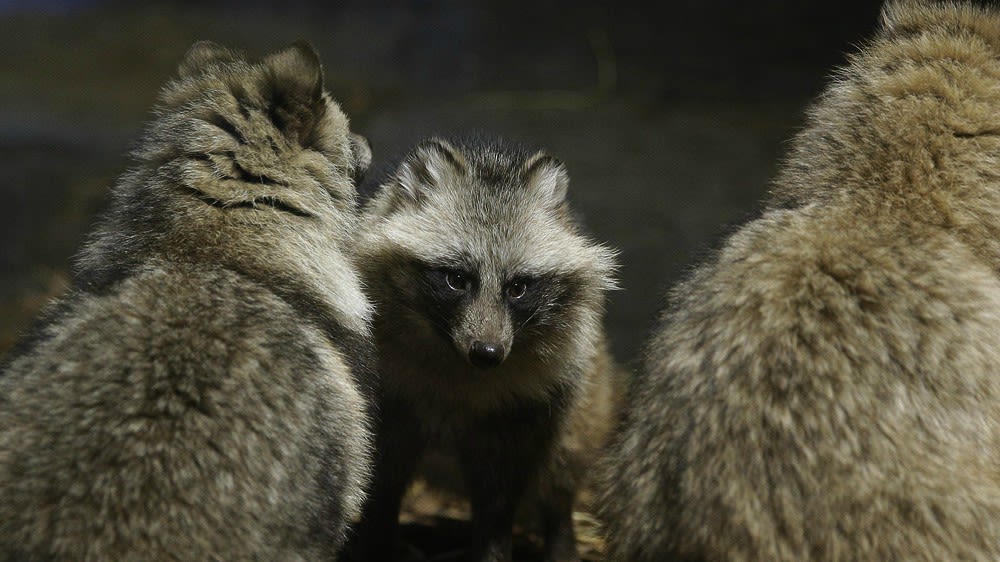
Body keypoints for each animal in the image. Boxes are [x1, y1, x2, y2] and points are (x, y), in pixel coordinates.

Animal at [348, 135, 620, 560]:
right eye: (456, 280)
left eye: (518, 288)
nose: (487, 354)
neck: (457, 364)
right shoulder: (390, 400)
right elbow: (383, 481)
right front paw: (376, 541)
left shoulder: (524, 409)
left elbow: (499, 501)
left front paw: (493, 547)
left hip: (586, 400)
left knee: (561, 472)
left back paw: (560, 534)